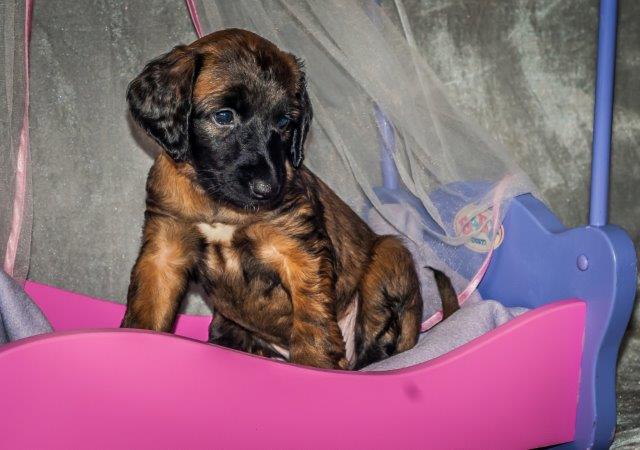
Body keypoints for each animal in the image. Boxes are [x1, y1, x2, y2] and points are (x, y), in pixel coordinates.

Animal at [121, 29, 457, 370]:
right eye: (223, 116)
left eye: (284, 122)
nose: (267, 189)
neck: (218, 203)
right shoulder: (164, 252)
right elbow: (147, 313)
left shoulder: (299, 251)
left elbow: (313, 322)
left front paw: (314, 367)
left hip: (390, 255)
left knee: (378, 344)